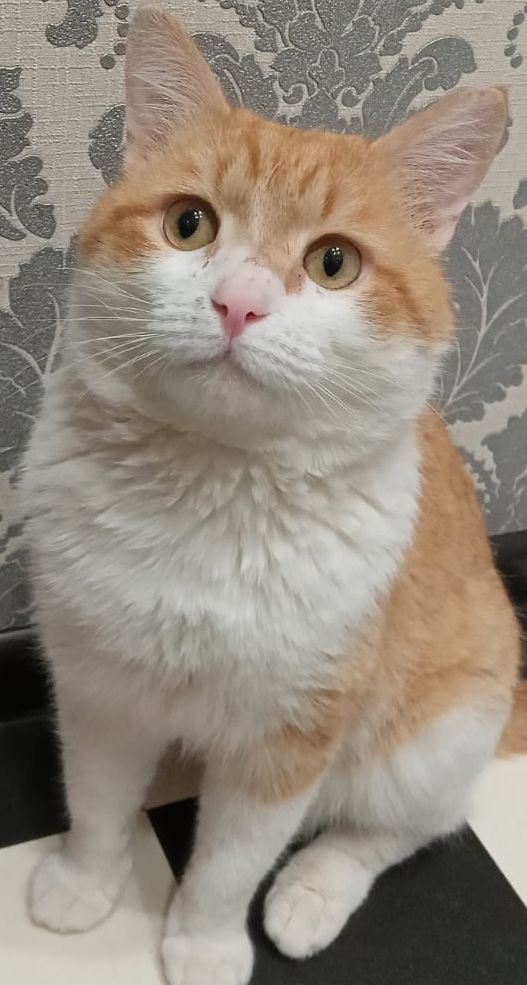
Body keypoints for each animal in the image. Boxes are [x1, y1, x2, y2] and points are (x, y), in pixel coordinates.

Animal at [21, 4, 526, 985]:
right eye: (189, 224)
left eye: (334, 264)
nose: (239, 302)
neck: (213, 489)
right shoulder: (99, 684)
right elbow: (97, 797)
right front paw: (86, 881)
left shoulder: (292, 731)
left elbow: (231, 857)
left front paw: (204, 942)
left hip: (434, 733)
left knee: (401, 826)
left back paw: (311, 892)